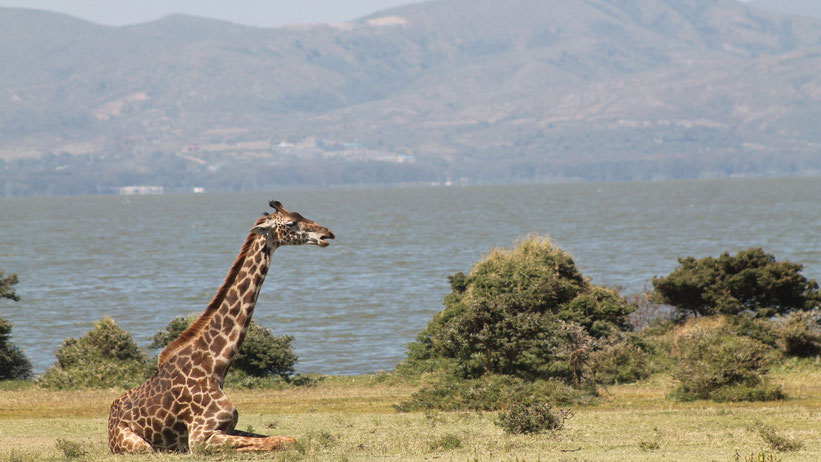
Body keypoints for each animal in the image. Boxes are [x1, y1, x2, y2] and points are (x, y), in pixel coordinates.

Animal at [108, 200, 334, 452]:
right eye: (291, 223)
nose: (327, 234)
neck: (215, 367)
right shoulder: (199, 437)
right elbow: (275, 442)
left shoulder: (229, 427)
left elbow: (287, 438)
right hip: (139, 445)